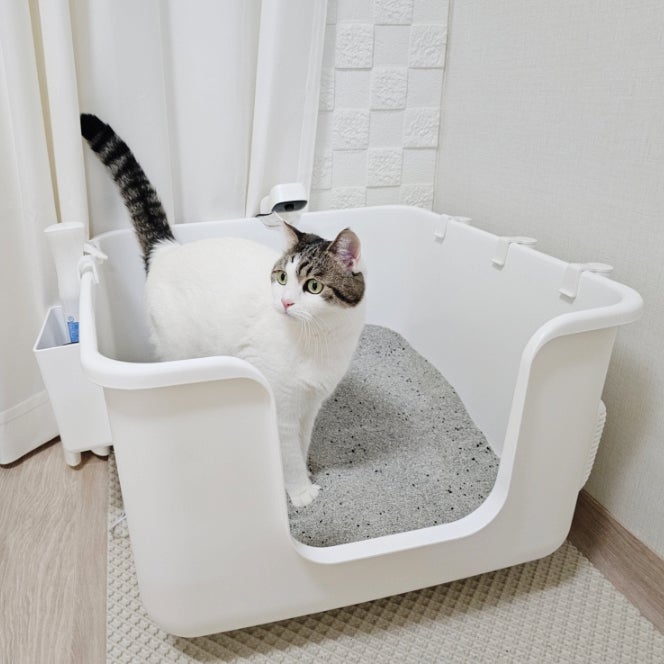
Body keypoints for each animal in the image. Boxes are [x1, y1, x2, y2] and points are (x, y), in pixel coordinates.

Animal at [80, 113, 366, 507]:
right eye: (281, 277)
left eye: (313, 286)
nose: (285, 301)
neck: (319, 339)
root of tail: (168, 249)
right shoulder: (282, 407)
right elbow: (288, 453)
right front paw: (298, 491)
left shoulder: (311, 405)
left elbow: (303, 442)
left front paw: (306, 474)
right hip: (178, 351)